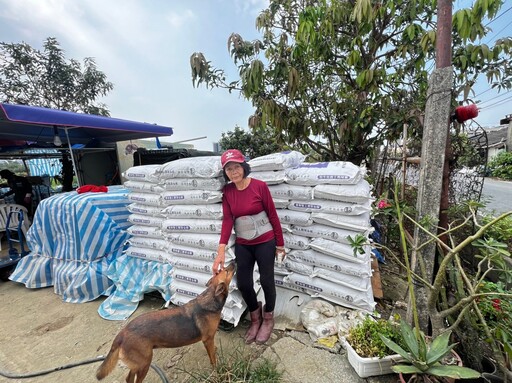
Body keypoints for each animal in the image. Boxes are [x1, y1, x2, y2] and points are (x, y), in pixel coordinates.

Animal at [96, 264, 236, 383]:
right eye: (226, 271)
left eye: (223, 270)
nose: (234, 261)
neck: (211, 297)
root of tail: (122, 334)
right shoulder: (208, 339)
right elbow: (213, 359)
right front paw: (217, 370)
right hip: (144, 363)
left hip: (138, 364)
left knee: (128, 378)